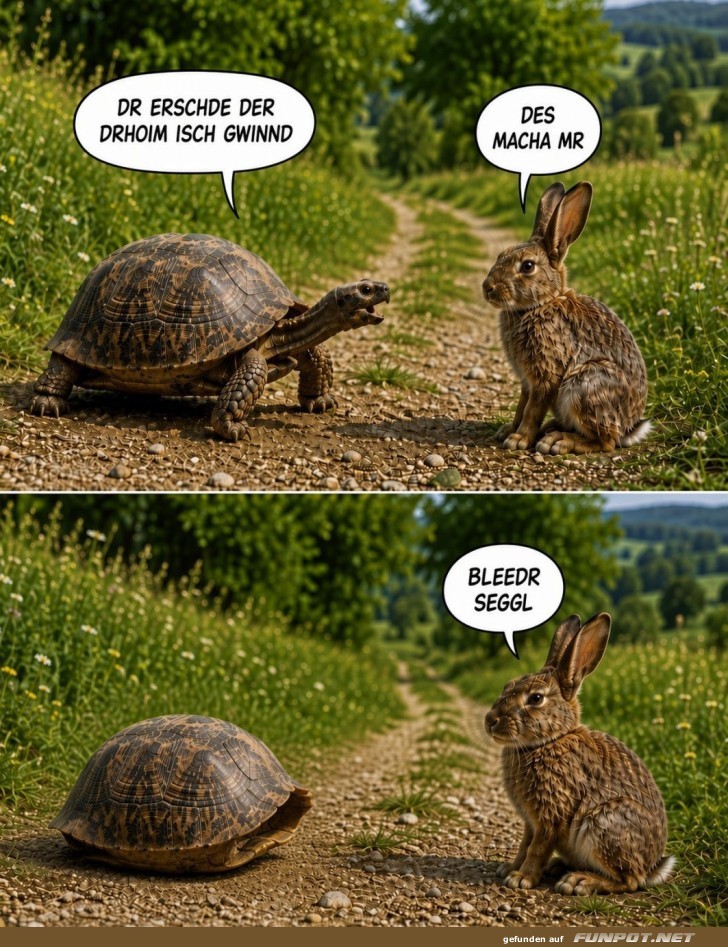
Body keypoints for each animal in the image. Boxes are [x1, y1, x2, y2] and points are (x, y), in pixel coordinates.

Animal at [482, 181, 650, 455]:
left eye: (527, 266)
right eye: (500, 256)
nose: (487, 288)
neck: (541, 304)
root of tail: (630, 427)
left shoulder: (547, 375)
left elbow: (532, 410)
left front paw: (519, 440)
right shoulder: (527, 382)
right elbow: (521, 406)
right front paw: (508, 431)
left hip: (586, 386)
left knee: (606, 442)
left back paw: (558, 441)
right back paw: (552, 429)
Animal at [484, 613, 674, 895]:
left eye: (536, 698)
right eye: (508, 685)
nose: (490, 720)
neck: (549, 741)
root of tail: (653, 866)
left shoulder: (551, 815)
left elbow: (537, 848)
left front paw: (521, 878)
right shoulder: (530, 821)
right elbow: (524, 845)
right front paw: (510, 869)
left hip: (604, 825)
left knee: (629, 881)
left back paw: (579, 881)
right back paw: (559, 867)